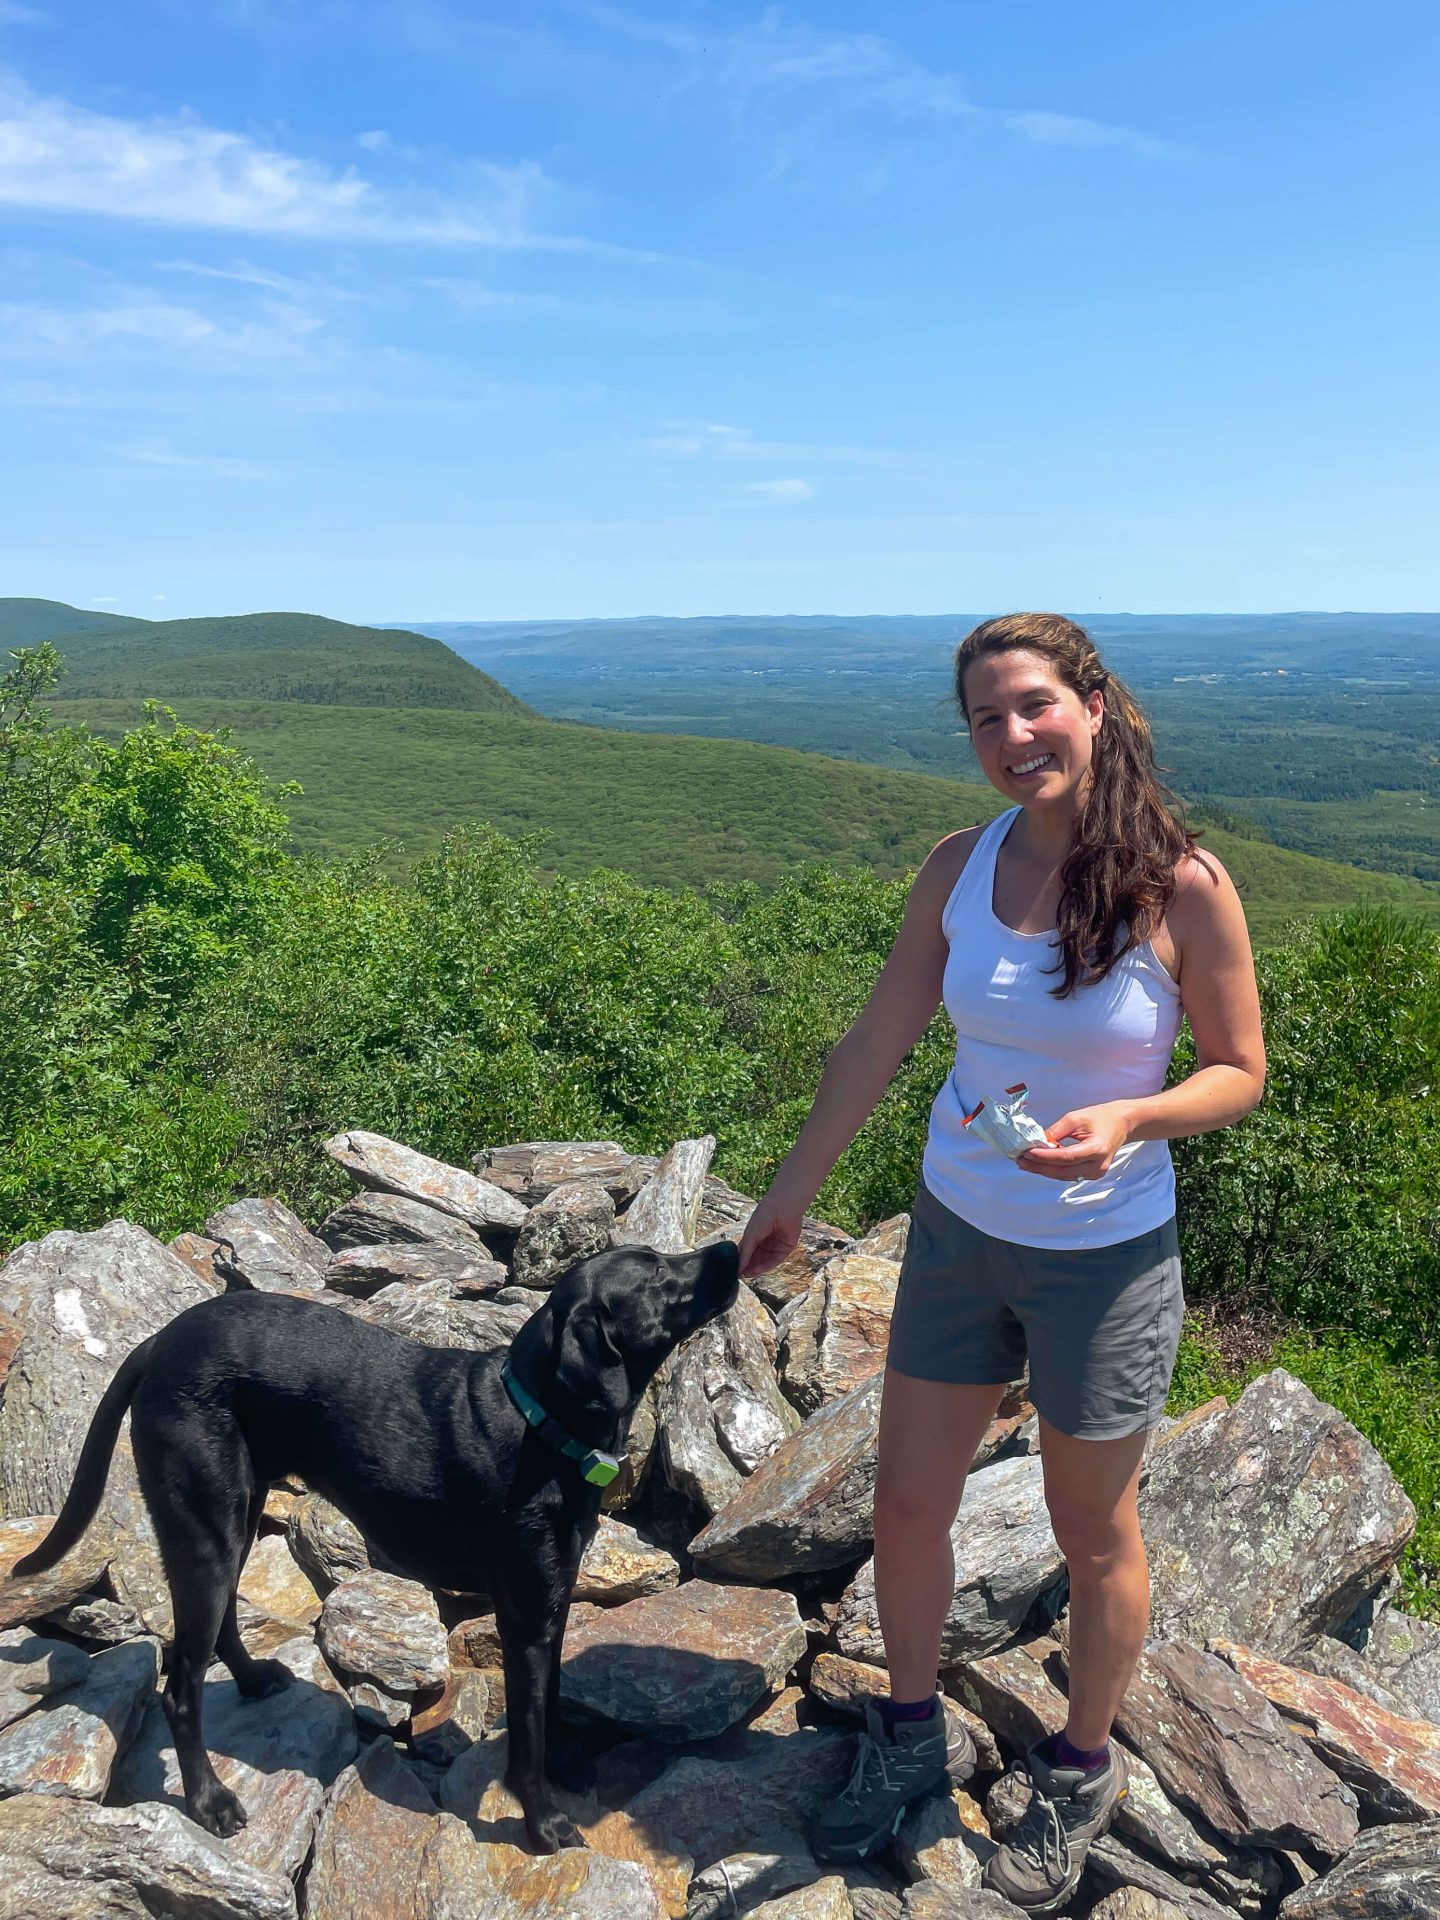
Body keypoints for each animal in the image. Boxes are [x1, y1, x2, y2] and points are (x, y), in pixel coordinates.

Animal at [16, 1236, 744, 1850]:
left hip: (237, 1515)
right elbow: (527, 1733)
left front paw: (565, 1764)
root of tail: (157, 1342)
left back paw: (252, 1681)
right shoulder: (525, 1615)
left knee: (219, 1625)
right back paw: (208, 1801)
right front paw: (543, 1825)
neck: (540, 1424)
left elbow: (552, 1703)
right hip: (205, 1526)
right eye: (655, 1273)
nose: (730, 1247)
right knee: (181, 1686)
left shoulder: (554, 1601)